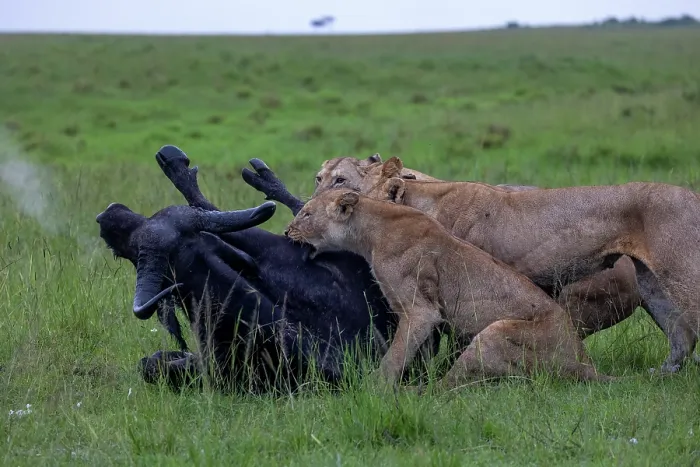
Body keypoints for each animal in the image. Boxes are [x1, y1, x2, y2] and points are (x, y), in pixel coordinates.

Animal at [286, 188, 612, 388]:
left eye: (307, 214)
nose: (287, 232)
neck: (370, 232)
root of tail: (585, 362)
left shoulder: (420, 310)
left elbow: (396, 354)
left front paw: (375, 387)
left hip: (496, 332)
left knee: (449, 386)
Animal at [346, 156, 700, 374]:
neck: (423, 201)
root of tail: (693, 195)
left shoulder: (471, 279)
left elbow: (458, 337)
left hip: (682, 272)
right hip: (652, 285)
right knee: (682, 337)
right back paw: (662, 374)